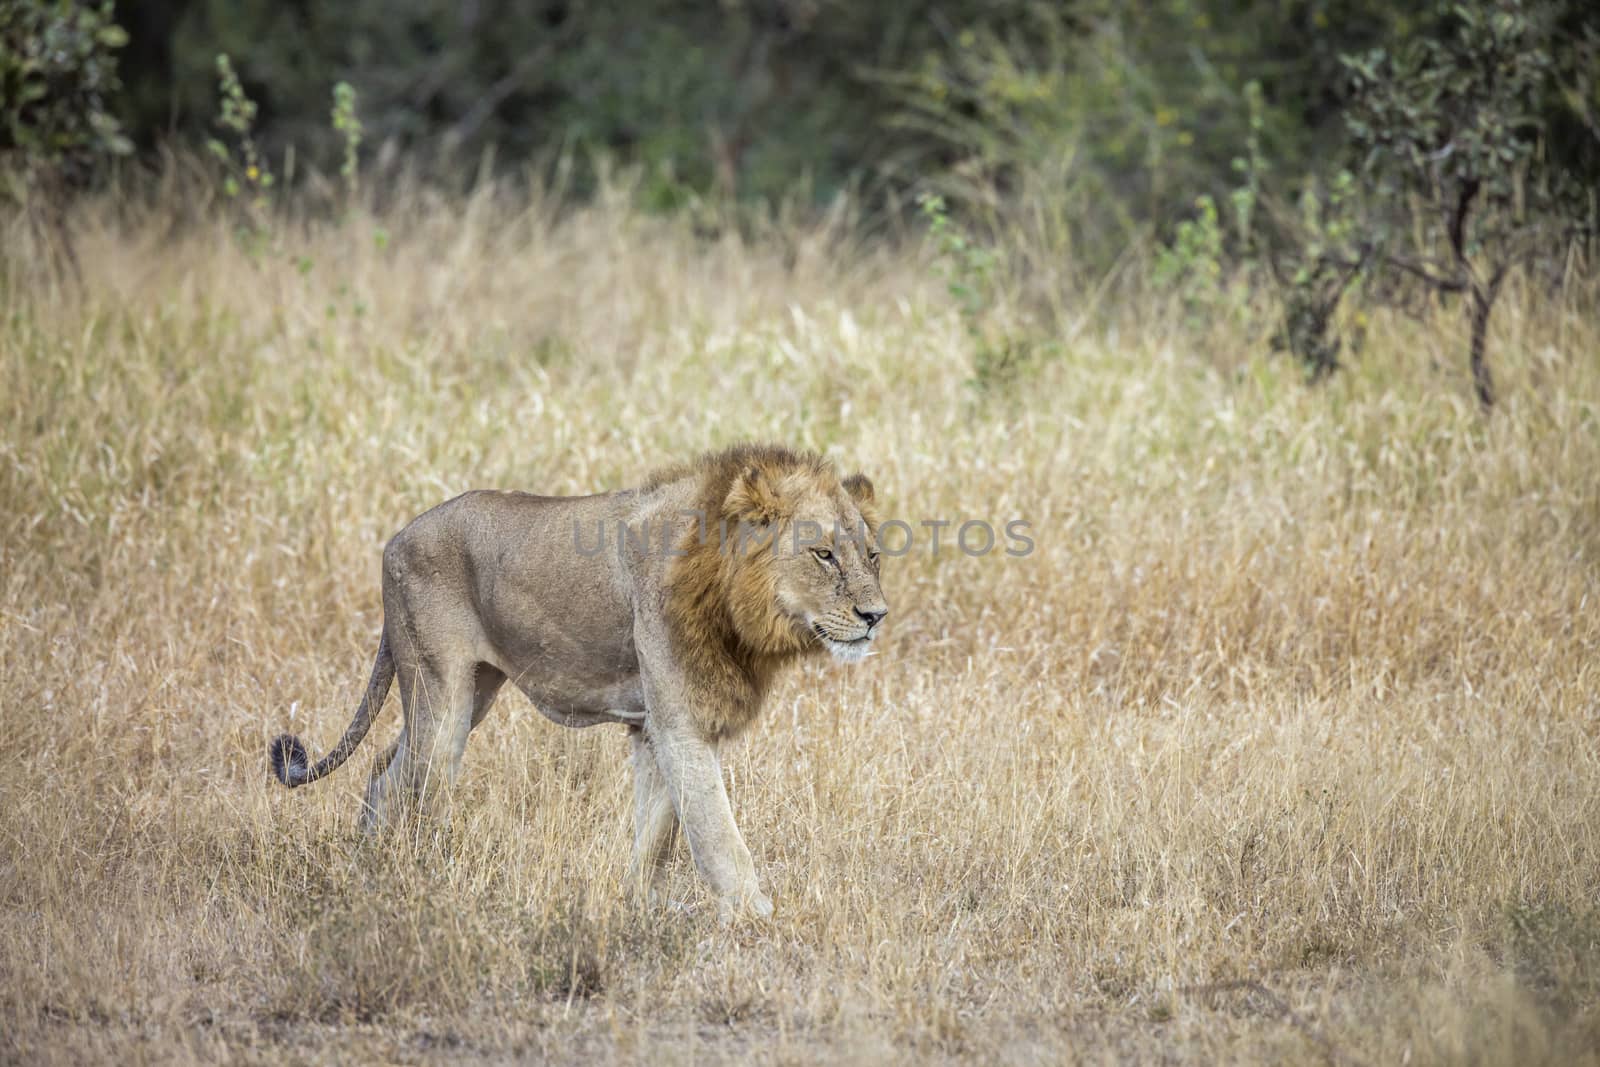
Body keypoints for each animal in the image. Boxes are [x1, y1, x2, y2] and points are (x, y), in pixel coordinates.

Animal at [265, 441, 889, 921]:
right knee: (413, 785)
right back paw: (411, 879)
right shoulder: (680, 723)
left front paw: (643, 908)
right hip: (441, 697)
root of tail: (396, 539)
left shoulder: (654, 727)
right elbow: (716, 832)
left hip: (473, 692)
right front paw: (754, 918)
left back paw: (368, 866)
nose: (876, 615)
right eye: (824, 555)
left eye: (873, 556)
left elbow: (657, 831)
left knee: (382, 774)